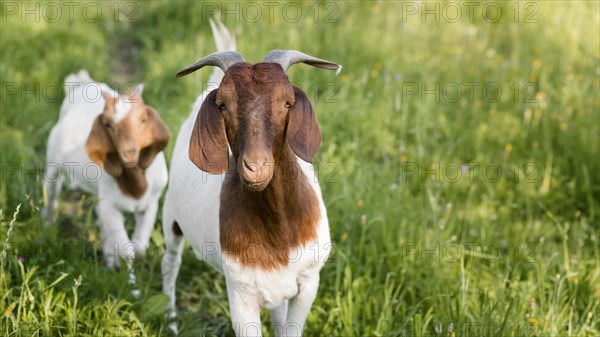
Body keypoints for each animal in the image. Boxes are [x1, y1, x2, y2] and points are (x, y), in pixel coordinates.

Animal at [43, 71, 170, 272]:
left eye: (143, 120)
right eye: (108, 124)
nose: (128, 152)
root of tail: (81, 83)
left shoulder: (151, 202)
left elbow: (139, 247)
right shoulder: (109, 204)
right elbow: (126, 249)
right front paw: (124, 272)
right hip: (53, 161)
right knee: (51, 191)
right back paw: (48, 225)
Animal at [162, 21, 340, 336]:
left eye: (287, 102)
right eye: (223, 105)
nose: (255, 167)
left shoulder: (309, 281)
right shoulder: (240, 293)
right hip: (171, 218)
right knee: (170, 263)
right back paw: (171, 321)